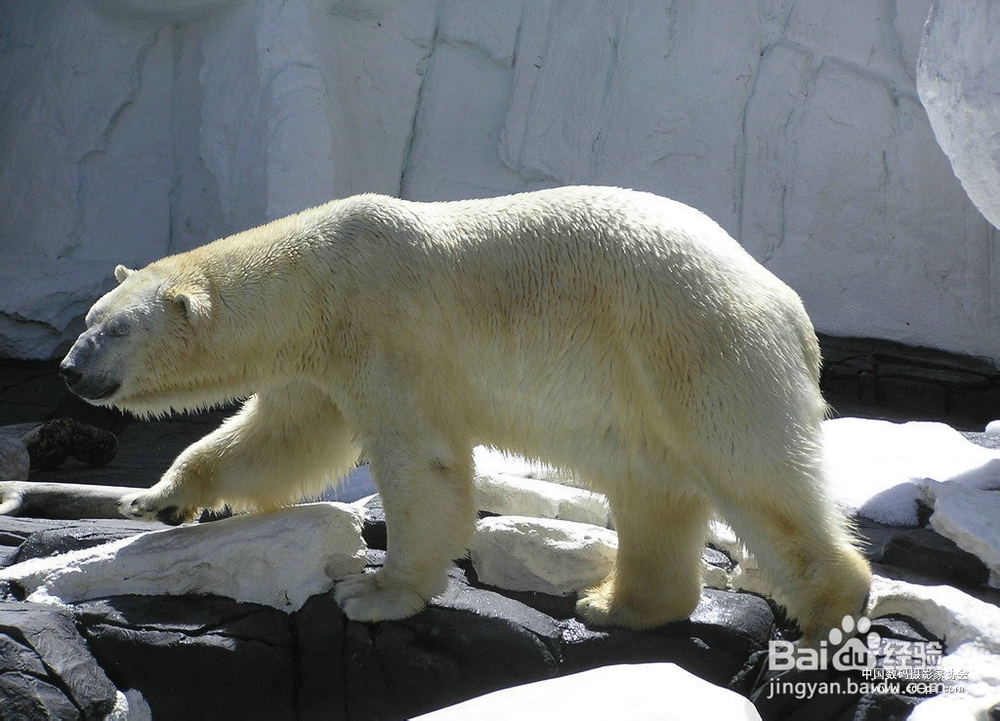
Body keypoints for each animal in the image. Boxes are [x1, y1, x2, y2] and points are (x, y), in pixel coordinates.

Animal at [58, 186, 868, 640]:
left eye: (117, 329)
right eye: (89, 317)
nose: (69, 369)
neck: (314, 277)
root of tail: (789, 309)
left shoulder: (386, 330)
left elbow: (422, 461)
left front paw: (374, 591)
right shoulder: (321, 365)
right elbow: (281, 439)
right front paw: (158, 498)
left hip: (693, 346)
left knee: (752, 473)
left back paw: (831, 614)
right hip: (649, 384)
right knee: (651, 489)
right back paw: (613, 604)